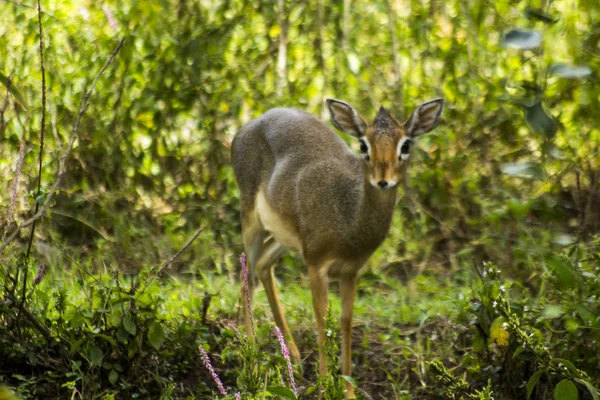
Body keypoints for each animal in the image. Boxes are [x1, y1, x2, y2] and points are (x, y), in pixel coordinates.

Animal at [232, 96, 442, 396]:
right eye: (363, 144)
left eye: (406, 144)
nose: (383, 180)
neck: (348, 215)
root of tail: (247, 126)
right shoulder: (316, 265)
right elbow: (321, 319)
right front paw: (323, 388)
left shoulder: (349, 270)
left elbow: (345, 320)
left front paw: (349, 390)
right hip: (251, 219)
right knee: (245, 279)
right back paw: (252, 364)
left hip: (286, 238)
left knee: (262, 266)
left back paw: (294, 356)